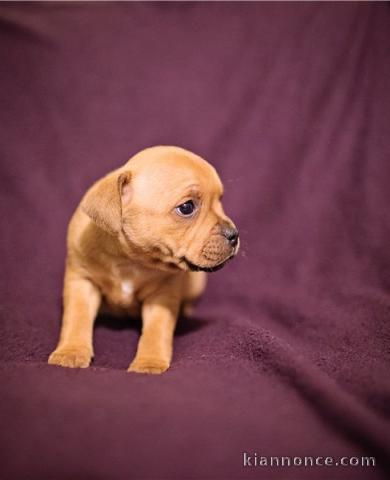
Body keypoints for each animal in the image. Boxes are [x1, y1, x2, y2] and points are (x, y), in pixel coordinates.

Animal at [48, 146, 238, 376]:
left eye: (220, 200)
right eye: (187, 207)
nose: (234, 234)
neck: (130, 260)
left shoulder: (162, 294)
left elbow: (156, 330)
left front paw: (149, 363)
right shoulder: (82, 282)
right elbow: (76, 317)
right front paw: (70, 352)